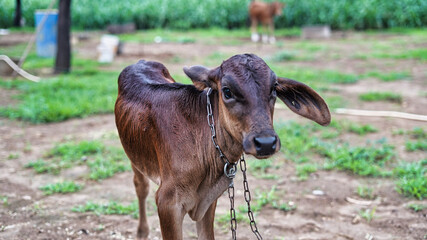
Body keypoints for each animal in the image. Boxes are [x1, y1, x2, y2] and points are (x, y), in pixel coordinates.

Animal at [113, 53, 332, 239]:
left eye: (273, 89)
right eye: (227, 91)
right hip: (135, 157)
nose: (266, 143)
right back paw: (142, 231)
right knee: (141, 187)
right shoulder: (168, 203)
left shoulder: (208, 202)